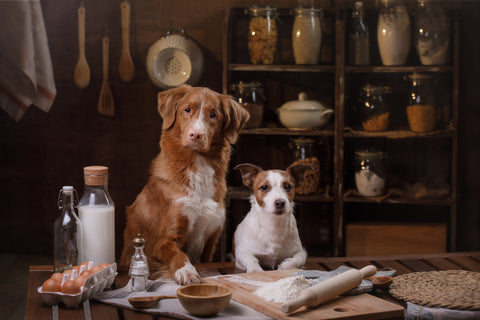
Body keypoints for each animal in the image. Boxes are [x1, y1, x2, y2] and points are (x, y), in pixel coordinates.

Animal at [119, 85, 249, 284]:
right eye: (187, 110)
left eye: (213, 114)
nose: (196, 135)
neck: (197, 164)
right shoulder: (164, 241)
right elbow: (178, 254)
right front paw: (186, 271)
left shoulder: (210, 240)